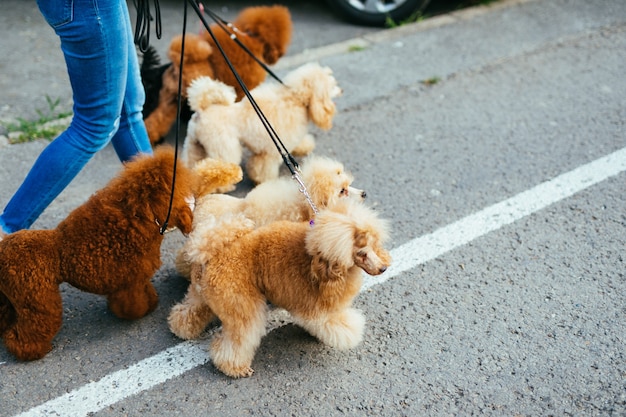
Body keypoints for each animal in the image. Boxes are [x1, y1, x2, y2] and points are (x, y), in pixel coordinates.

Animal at [0, 147, 195, 360]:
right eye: (181, 195)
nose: (192, 215)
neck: (137, 219)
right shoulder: (129, 285)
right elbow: (133, 306)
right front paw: (137, 312)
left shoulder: (138, 279)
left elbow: (146, 293)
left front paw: (152, 303)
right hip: (38, 302)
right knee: (29, 330)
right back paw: (30, 351)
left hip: (13, 299)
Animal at [166, 198, 390, 376]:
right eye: (361, 253)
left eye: (374, 244)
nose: (383, 268)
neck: (320, 262)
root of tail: (210, 254)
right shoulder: (315, 308)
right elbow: (332, 324)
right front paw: (350, 331)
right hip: (241, 305)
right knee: (238, 338)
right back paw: (235, 368)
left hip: (201, 293)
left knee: (188, 311)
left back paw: (181, 329)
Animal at [183, 62, 344, 183]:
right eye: (333, 86)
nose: (342, 90)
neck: (296, 98)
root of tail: (202, 110)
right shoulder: (271, 152)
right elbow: (263, 169)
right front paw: (262, 181)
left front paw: (304, 147)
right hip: (224, 148)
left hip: (194, 145)